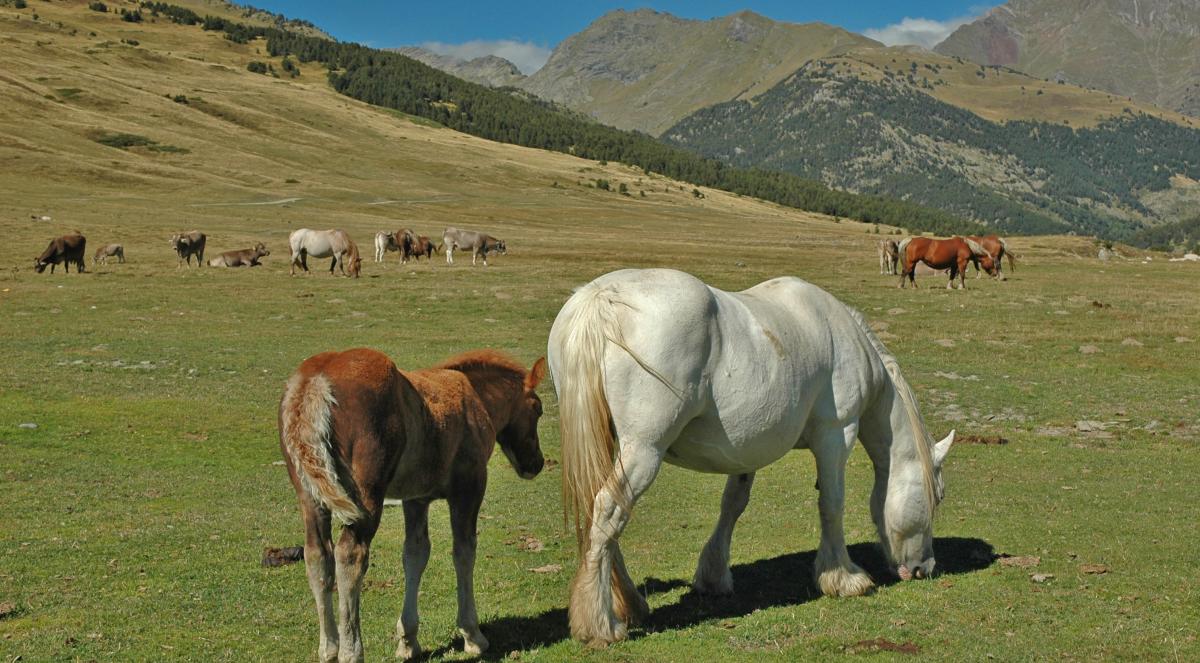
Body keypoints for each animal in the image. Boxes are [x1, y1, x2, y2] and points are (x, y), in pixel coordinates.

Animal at [278, 350, 547, 658]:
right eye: (538, 409)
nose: (536, 463)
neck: (474, 395)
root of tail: (315, 381)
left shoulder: (416, 498)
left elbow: (415, 554)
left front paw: (408, 641)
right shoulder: (469, 488)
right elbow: (464, 552)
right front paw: (473, 635)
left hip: (311, 496)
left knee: (317, 556)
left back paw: (329, 650)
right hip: (366, 499)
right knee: (350, 555)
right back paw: (351, 652)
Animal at [549, 267, 950, 643]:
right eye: (937, 497)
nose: (925, 568)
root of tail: (601, 298)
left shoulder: (748, 451)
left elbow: (733, 505)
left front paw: (713, 577)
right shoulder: (837, 435)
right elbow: (832, 505)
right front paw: (843, 577)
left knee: (599, 512)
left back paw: (629, 604)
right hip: (644, 451)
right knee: (608, 510)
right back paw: (600, 625)